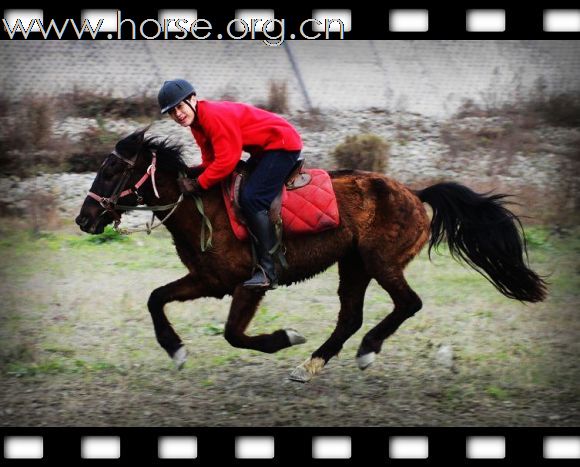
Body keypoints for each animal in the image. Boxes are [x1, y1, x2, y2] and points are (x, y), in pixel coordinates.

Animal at [75, 129, 548, 384]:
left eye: (112, 170)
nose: (84, 218)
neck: (199, 206)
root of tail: (416, 193)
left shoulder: (247, 284)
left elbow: (234, 334)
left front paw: (285, 337)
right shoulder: (208, 281)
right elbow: (156, 298)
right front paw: (175, 350)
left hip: (381, 263)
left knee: (407, 304)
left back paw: (366, 350)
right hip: (354, 265)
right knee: (351, 317)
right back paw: (312, 364)